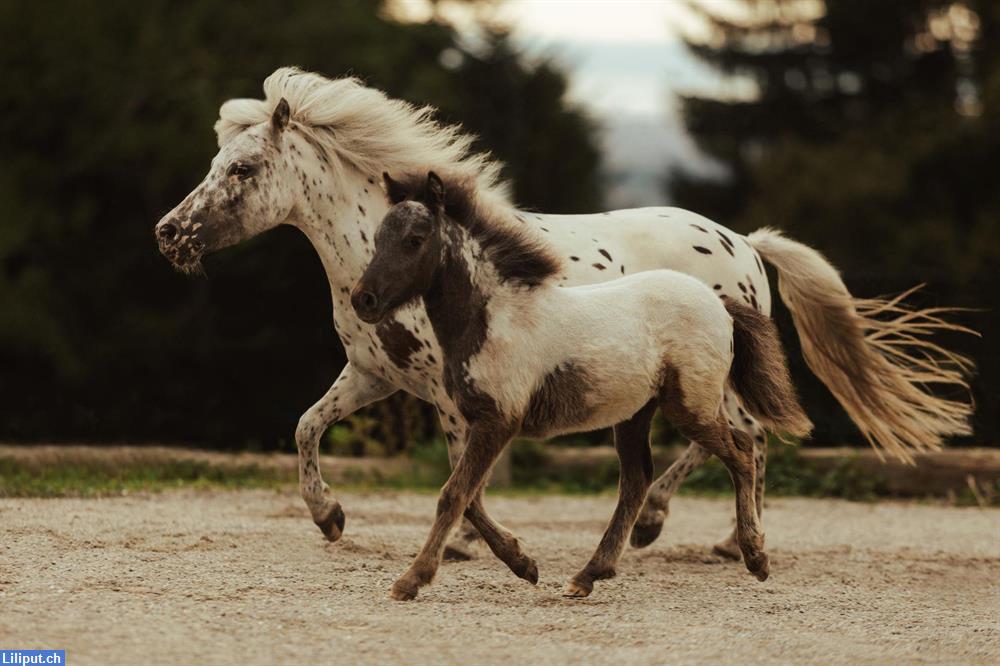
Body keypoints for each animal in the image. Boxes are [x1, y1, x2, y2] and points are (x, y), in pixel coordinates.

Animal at [354, 174, 812, 600]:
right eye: (377, 238)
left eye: (415, 239)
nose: (363, 300)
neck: (493, 317)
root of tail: (720, 305)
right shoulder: (478, 422)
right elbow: (471, 498)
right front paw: (523, 562)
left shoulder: (497, 420)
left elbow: (454, 494)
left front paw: (410, 580)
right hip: (636, 414)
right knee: (638, 479)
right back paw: (589, 574)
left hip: (689, 406)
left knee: (742, 450)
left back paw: (753, 556)